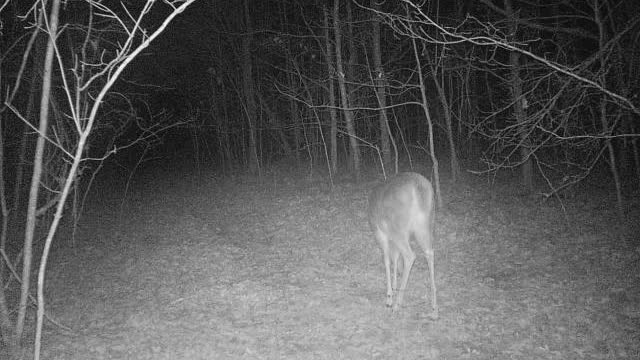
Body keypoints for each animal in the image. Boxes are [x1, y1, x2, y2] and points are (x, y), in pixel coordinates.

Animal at [368, 173, 438, 320]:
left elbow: (387, 260)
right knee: (429, 252)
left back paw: (397, 305)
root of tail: (418, 189)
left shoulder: (380, 233)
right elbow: (395, 258)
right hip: (425, 225)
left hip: (399, 228)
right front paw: (395, 286)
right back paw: (434, 309)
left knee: (410, 256)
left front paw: (389, 296)